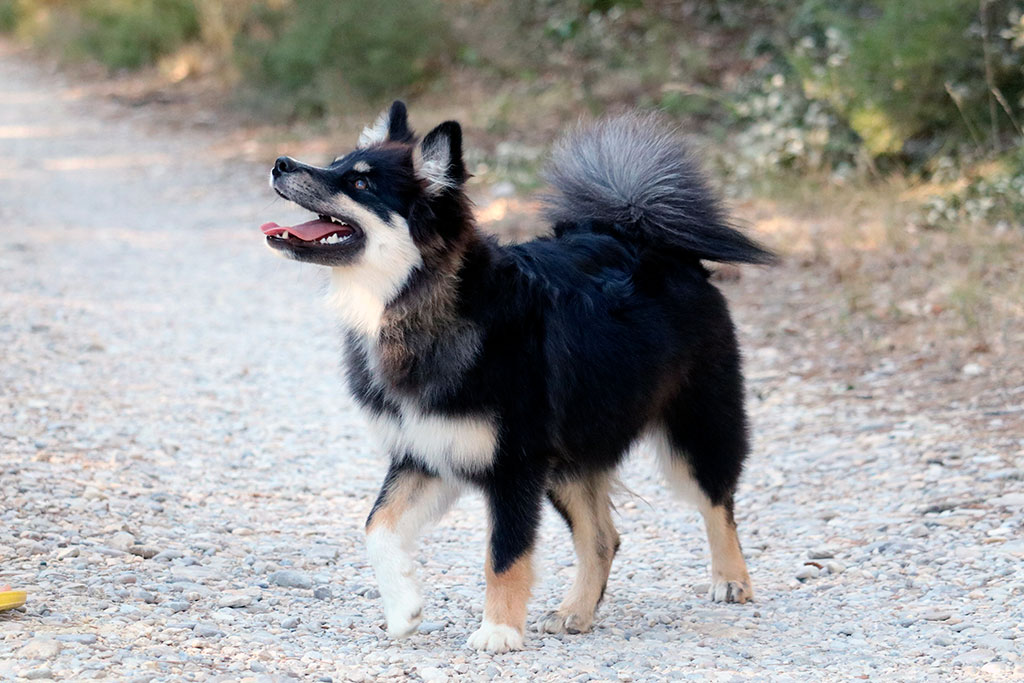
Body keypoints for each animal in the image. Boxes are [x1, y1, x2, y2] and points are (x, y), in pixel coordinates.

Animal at [260, 100, 770, 651]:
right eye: (335, 163)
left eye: (359, 183)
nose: (281, 163)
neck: (417, 304)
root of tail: (643, 235)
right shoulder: (426, 451)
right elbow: (377, 526)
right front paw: (404, 609)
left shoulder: (514, 466)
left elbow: (503, 556)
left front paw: (498, 631)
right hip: (570, 459)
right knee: (603, 538)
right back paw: (575, 612)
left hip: (692, 429)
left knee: (717, 502)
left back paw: (731, 579)